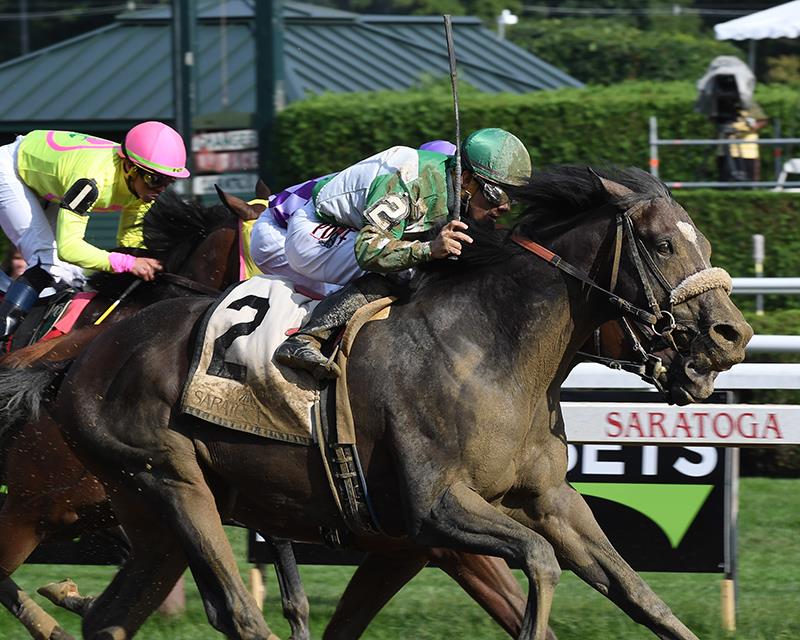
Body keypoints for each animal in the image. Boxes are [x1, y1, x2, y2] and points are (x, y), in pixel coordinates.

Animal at [0, 165, 752, 640]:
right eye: (661, 243)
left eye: (706, 242)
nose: (732, 335)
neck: (490, 347)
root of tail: (79, 360)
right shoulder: (434, 511)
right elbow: (538, 564)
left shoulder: (539, 504)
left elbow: (639, 593)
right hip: (168, 482)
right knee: (236, 614)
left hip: (150, 518)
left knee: (111, 620)